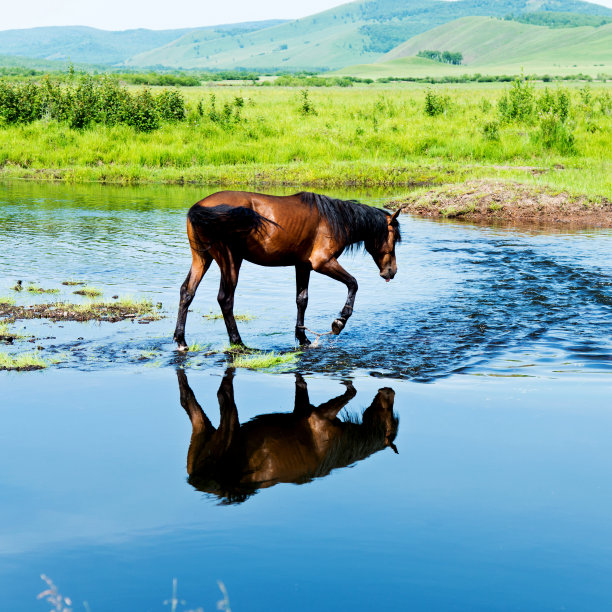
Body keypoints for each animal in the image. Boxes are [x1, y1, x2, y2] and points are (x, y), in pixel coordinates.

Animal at [172, 194, 402, 352]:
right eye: (393, 237)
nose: (391, 271)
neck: (335, 219)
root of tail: (198, 208)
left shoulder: (303, 266)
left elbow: (302, 300)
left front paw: (303, 338)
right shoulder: (323, 263)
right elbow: (353, 283)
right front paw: (340, 321)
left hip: (202, 259)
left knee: (187, 292)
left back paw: (181, 341)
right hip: (230, 261)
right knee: (225, 299)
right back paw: (239, 343)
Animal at [178, 368, 396, 502]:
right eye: (390, 423)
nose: (390, 391)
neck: (340, 445)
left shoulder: (303, 408)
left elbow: (302, 385)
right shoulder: (319, 414)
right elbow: (351, 392)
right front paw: (347, 381)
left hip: (201, 434)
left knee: (188, 401)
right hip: (227, 432)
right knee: (224, 397)